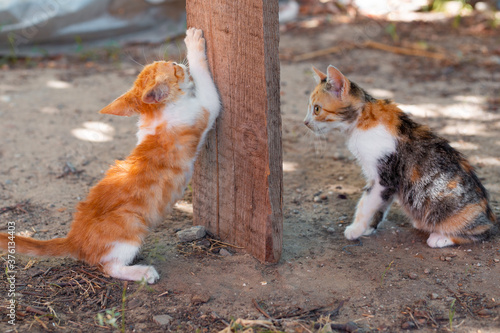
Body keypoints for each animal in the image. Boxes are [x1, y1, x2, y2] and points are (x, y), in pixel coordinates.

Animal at [0, 28, 220, 282]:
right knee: (109, 267)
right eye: (174, 68)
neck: (157, 113)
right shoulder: (205, 108)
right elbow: (206, 82)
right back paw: (143, 272)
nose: (178, 63)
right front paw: (193, 43)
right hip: (131, 223)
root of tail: (73, 239)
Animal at [304, 64, 496, 246]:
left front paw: (355, 229)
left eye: (317, 109)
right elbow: (380, 205)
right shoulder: (388, 182)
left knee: (484, 232)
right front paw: (369, 228)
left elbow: (365, 204)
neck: (361, 120)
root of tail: (489, 215)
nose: (305, 122)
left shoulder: (383, 177)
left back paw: (441, 238)